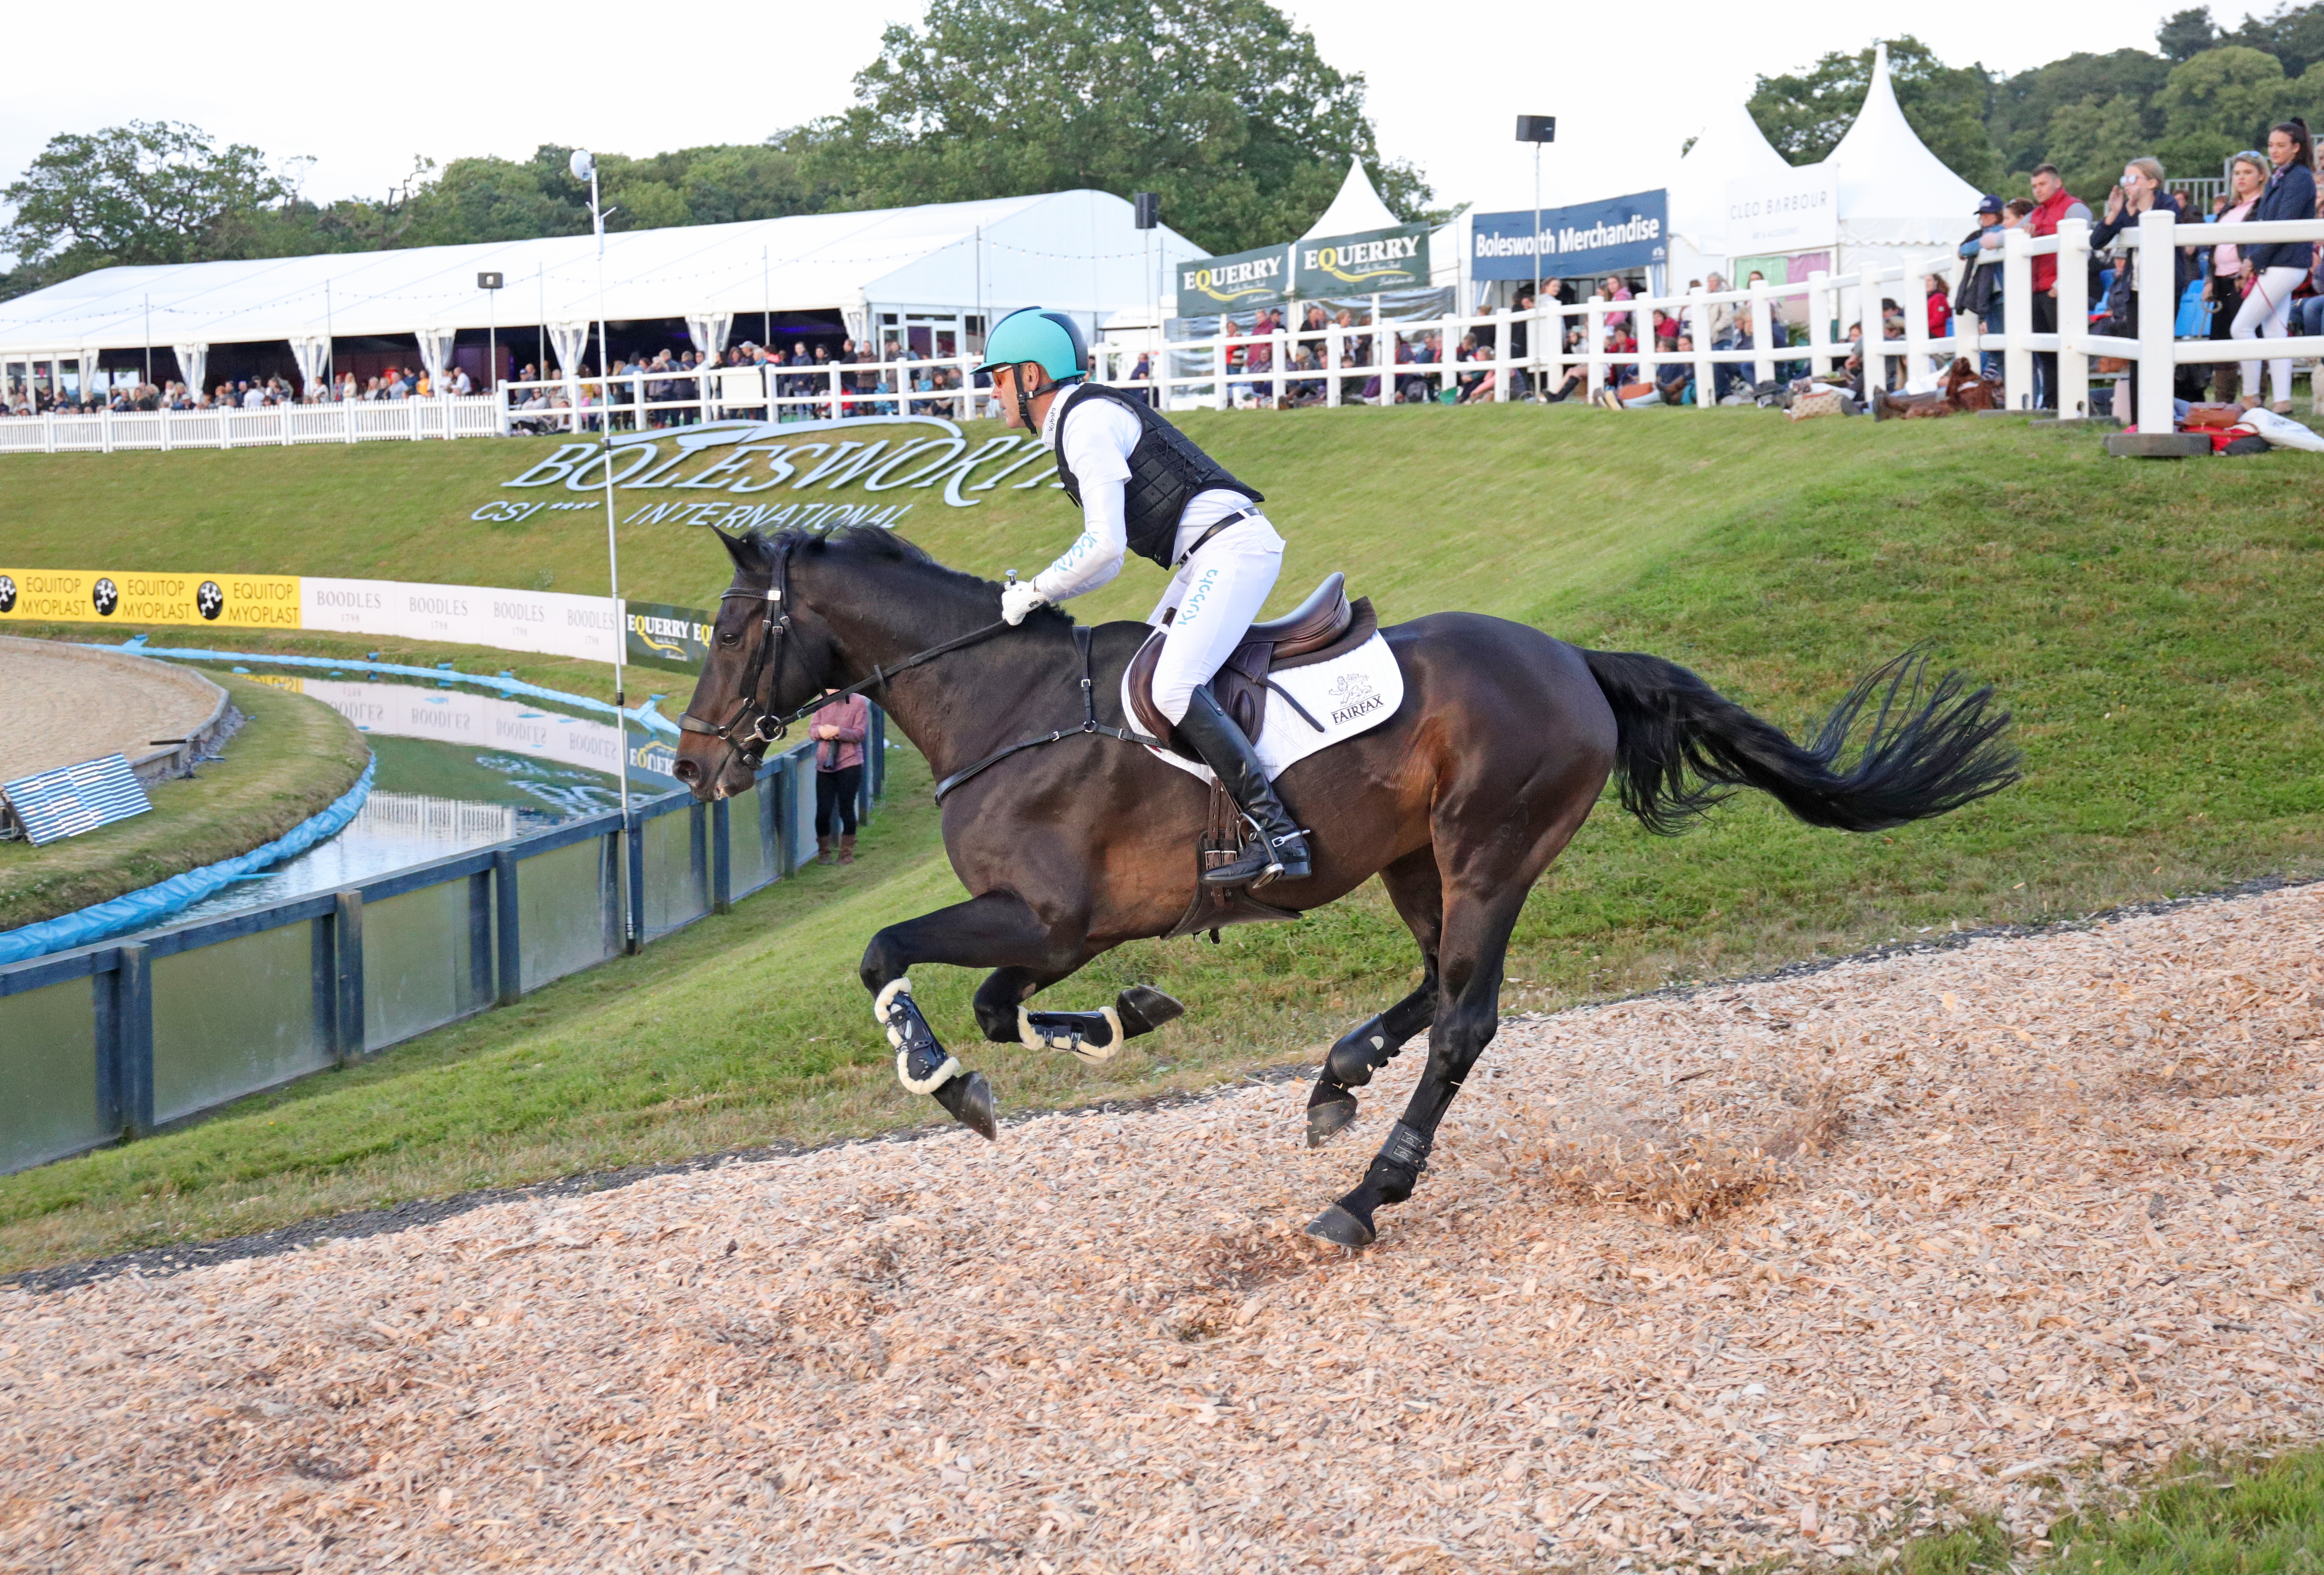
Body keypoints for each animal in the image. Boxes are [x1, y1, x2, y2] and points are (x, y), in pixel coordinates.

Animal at [669, 529, 2017, 1245]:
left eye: (730, 633)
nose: (691, 765)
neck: (1002, 704)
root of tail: (1570, 657)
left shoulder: (1046, 918)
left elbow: (887, 955)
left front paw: (940, 1077)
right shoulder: (1064, 936)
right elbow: (1006, 1005)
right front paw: (1120, 1020)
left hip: (1486, 851)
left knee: (1466, 1016)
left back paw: (1367, 1191)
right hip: (1416, 862)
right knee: (1431, 986)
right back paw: (1338, 1074)